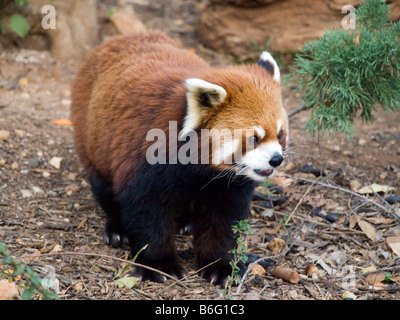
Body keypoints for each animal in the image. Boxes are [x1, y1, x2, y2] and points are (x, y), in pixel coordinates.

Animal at [69, 30, 288, 284]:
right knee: (105, 185)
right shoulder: (147, 161)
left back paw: (186, 221)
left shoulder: (227, 181)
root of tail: (119, 39)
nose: (276, 159)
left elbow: (223, 217)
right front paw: (158, 264)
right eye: (254, 138)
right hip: (92, 138)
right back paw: (117, 228)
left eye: (280, 134)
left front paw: (221, 265)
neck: (199, 166)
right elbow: (148, 212)